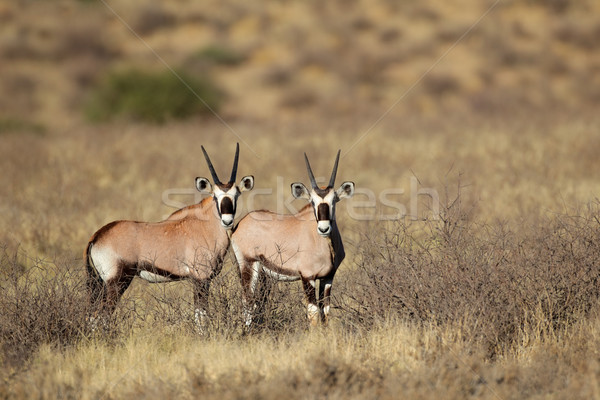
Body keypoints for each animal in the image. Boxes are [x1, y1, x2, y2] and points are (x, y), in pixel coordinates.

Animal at [84, 144, 253, 332]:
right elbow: (201, 317)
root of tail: (97, 236)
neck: (204, 225)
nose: (227, 220)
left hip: (101, 283)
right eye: (215, 196)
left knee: (93, 318)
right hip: (117, 282)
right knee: (101, 317)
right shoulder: (200, 279)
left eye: (236, 196)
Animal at [230, 150, 352, 328]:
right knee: (247, 302)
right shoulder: (307, 277)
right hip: (248, 265)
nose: (323, 229)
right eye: (312, 202)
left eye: (333, 201)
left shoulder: (328, 277)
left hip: (263, 274)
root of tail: (240, 224)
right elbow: (313, 313)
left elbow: (325, 313)